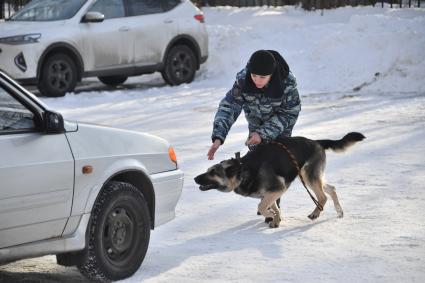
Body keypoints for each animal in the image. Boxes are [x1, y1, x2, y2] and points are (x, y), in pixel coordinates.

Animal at [194, 133, 362, 229]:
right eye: (208, 170)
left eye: (213, 172)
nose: (195, 178)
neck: (243, 170)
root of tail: (316, 141)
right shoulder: (271, 193)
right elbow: (274, 207)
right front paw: (276, 219)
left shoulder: (278, 189)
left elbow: (262, 206)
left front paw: (270, 215)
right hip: (311, 176)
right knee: (332, 189)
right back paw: (339, 211)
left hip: (309, 177)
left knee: (323, 197)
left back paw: (315, 213)